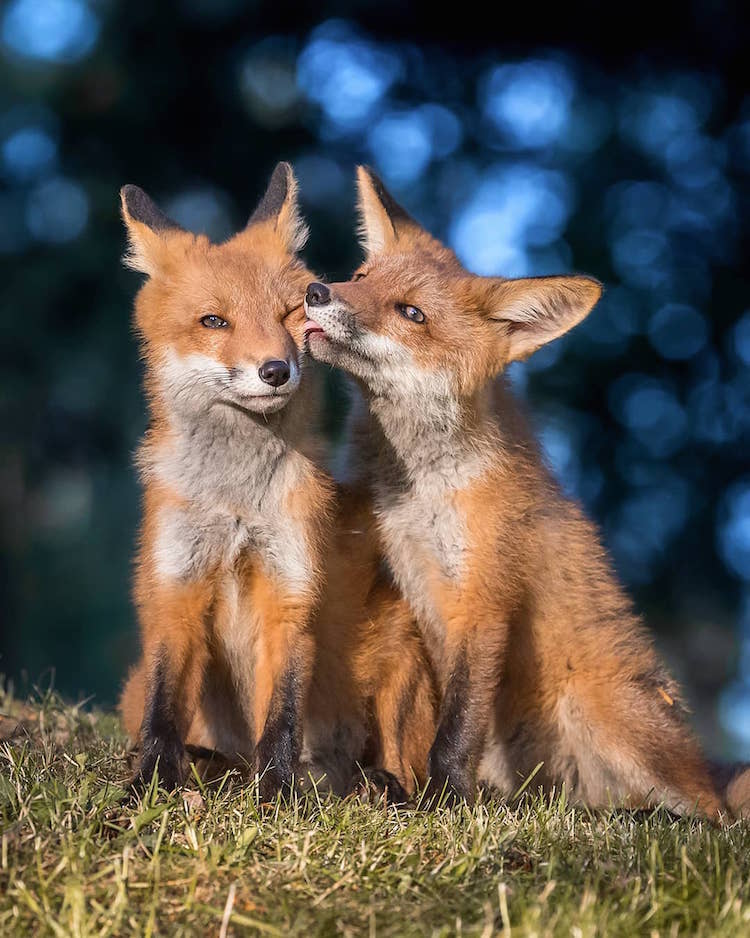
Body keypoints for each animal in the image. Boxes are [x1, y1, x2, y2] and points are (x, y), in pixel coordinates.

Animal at [119, 161, 438, 796]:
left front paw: (276, 793)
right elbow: (164, 708)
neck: (236, 504)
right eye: (214, 321)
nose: (275, 370)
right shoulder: (176, 585)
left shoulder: (289, 585)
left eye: (290, 314)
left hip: (401, 650)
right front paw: (152, 780)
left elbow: (283, 710)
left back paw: (378, 784)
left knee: (399, 766)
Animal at [302, 165, 736, 816]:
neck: (419, 493)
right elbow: (413, 716)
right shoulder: (402, 585)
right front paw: (399, 787)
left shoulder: (484, 599)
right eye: (359, 279)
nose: (315, 292)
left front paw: (443, 802)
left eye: (411, 313)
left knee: (707, 815)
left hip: (601, 713)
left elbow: (457, 728)